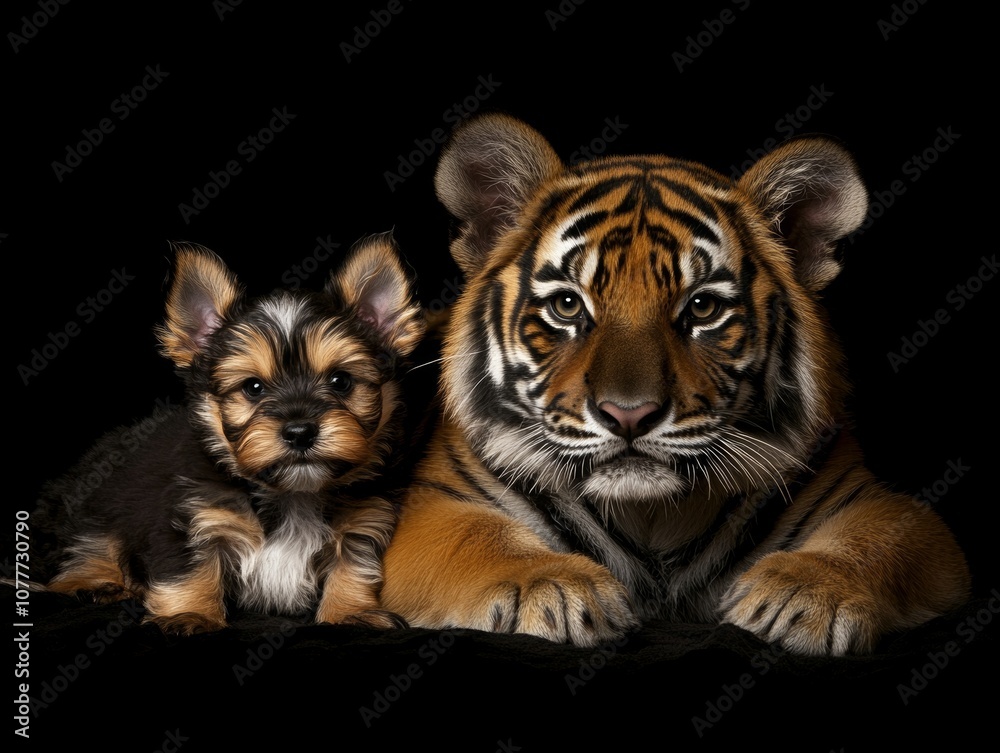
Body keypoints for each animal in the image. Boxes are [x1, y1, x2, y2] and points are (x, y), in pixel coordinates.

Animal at [380, 112, 971, 655]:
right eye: (568, 305)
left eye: (702, 308)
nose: (629, 415)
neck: (652, 517)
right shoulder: (435, 504)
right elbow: (478, 539)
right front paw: (553, 588)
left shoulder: (888, 508)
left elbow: (872, 544)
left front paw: (805, 595)